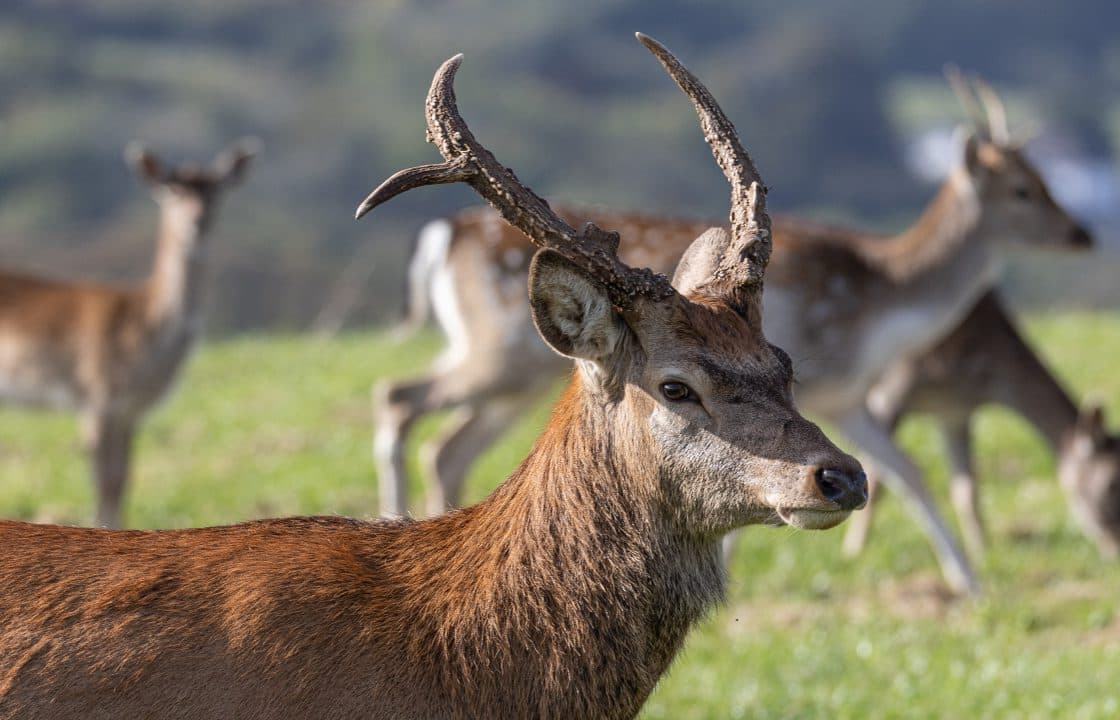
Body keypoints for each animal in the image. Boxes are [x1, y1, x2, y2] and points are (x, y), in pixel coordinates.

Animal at [0, 140, 255, 528]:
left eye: (217, 189)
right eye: (172, 189)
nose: (197, 221)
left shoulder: (131, 410)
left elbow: (124, 478)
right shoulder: (98, 394)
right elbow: (105, 480)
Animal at [844, 290, 1118, 562]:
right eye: (1111, 484)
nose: (1115, 550)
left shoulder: (956, 414)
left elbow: (967, 487)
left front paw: (981, 551)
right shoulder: (894, 388)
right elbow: (879, 477)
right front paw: (854, 549)